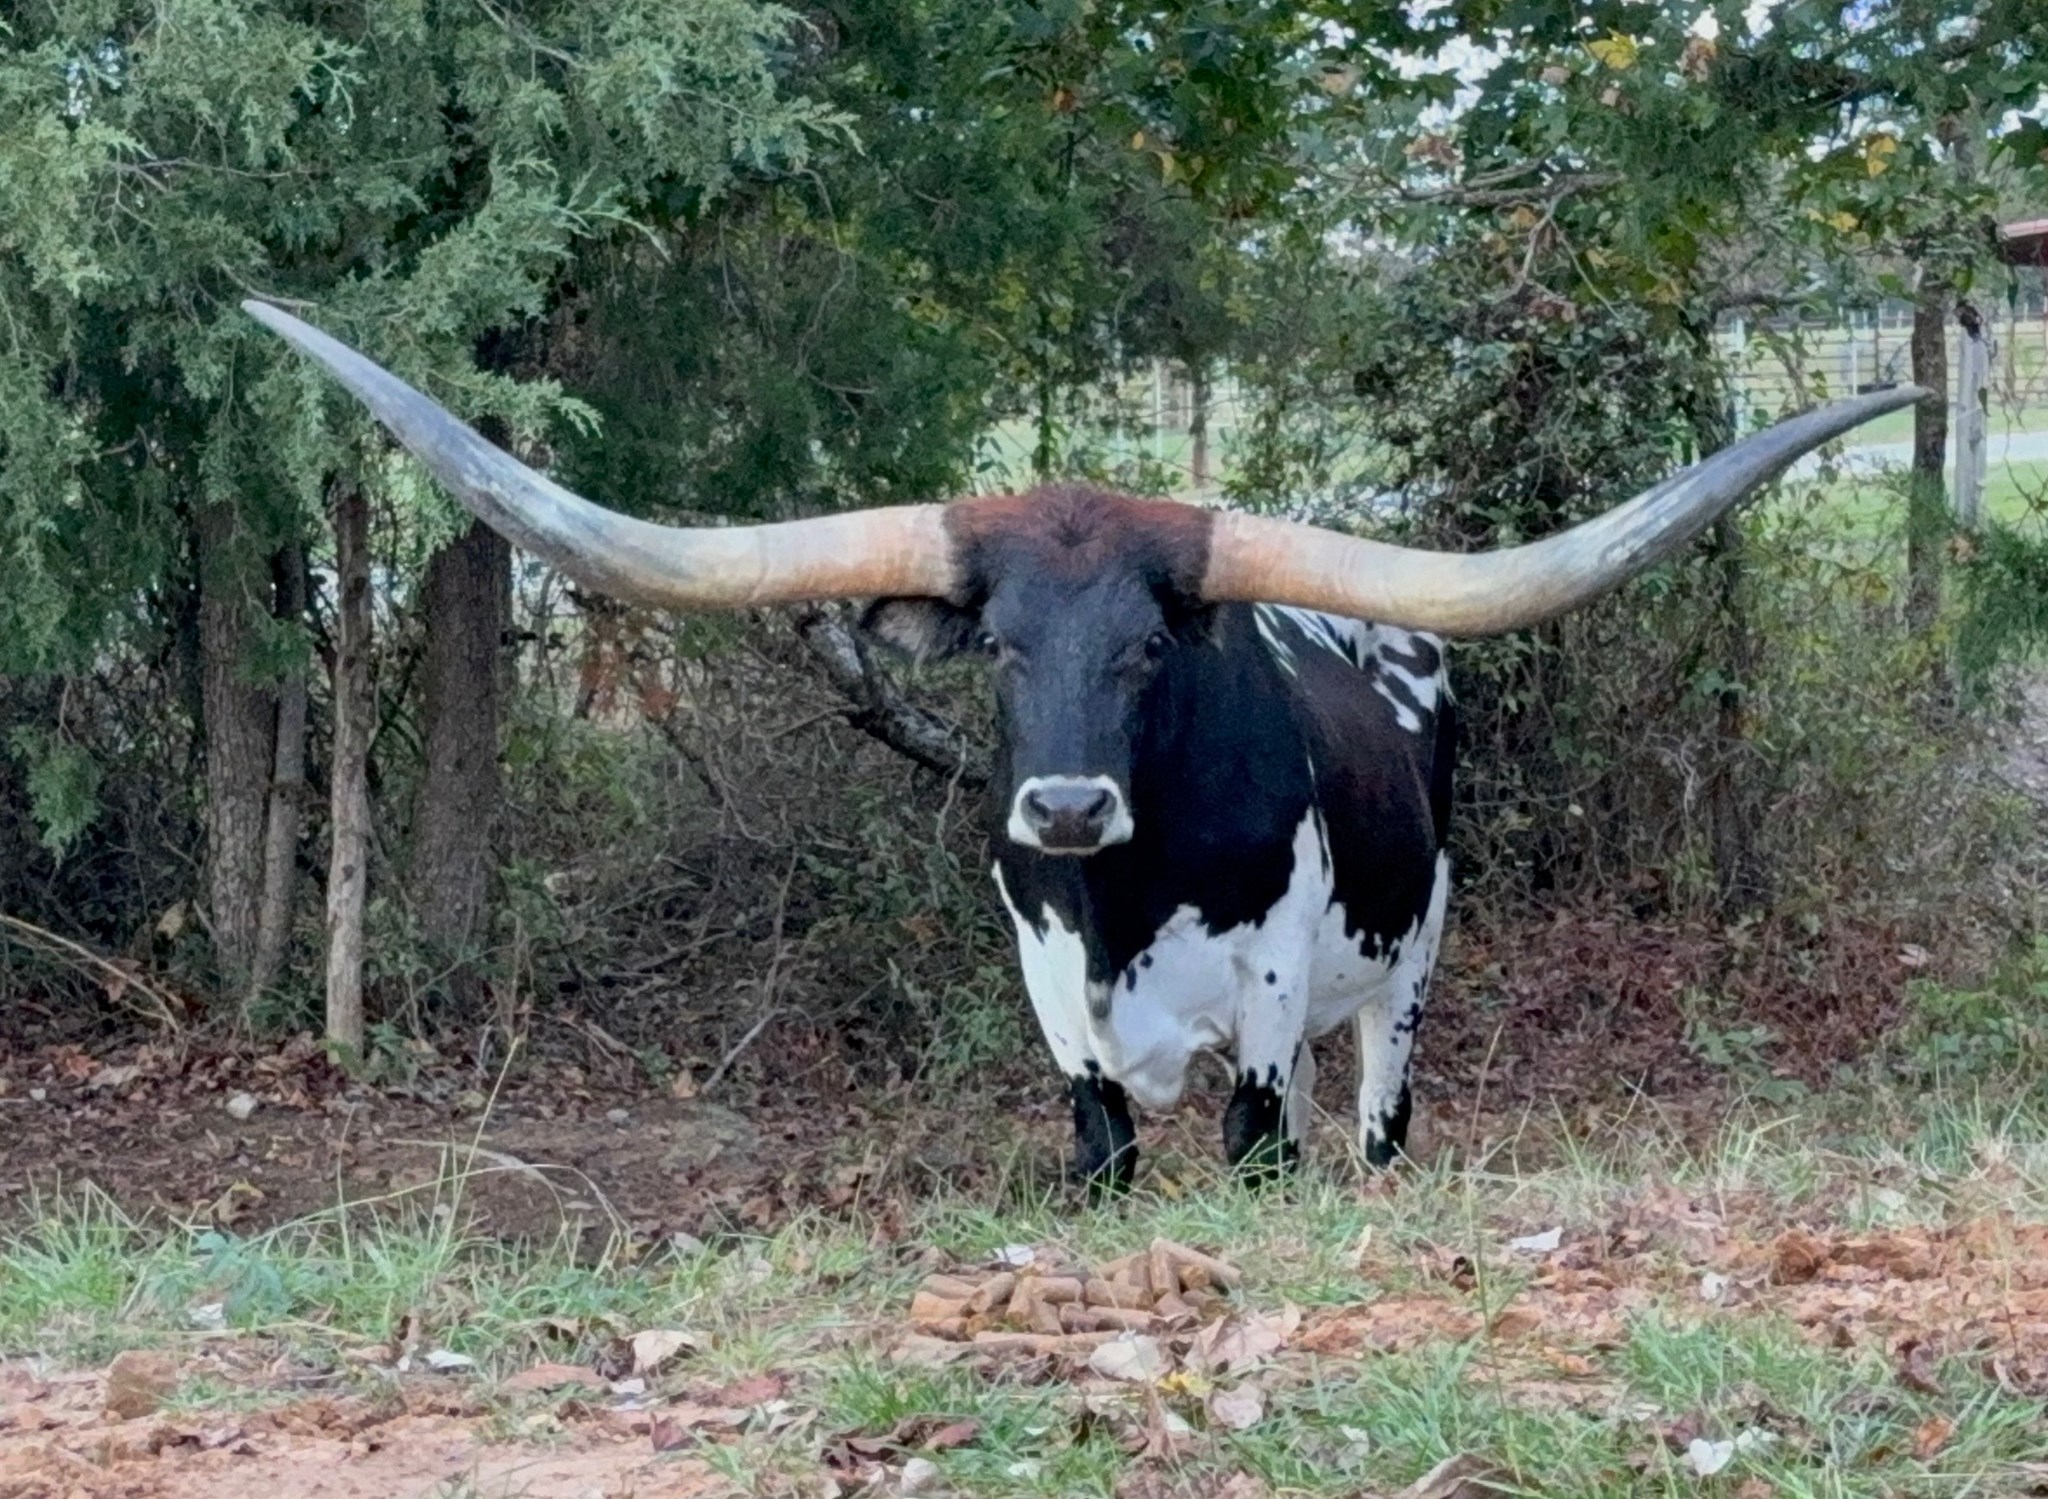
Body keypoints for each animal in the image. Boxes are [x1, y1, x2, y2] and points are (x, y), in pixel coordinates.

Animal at [244, 301, 1920, 1187]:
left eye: (1149, 647)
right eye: (998, 643)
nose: (1060, 804)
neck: (1124, 900)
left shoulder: (1269, 981)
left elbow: (1254, 1133)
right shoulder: (1047, 977)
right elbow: (1102, 1138)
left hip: (1415, 957)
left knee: (1373, 1102)